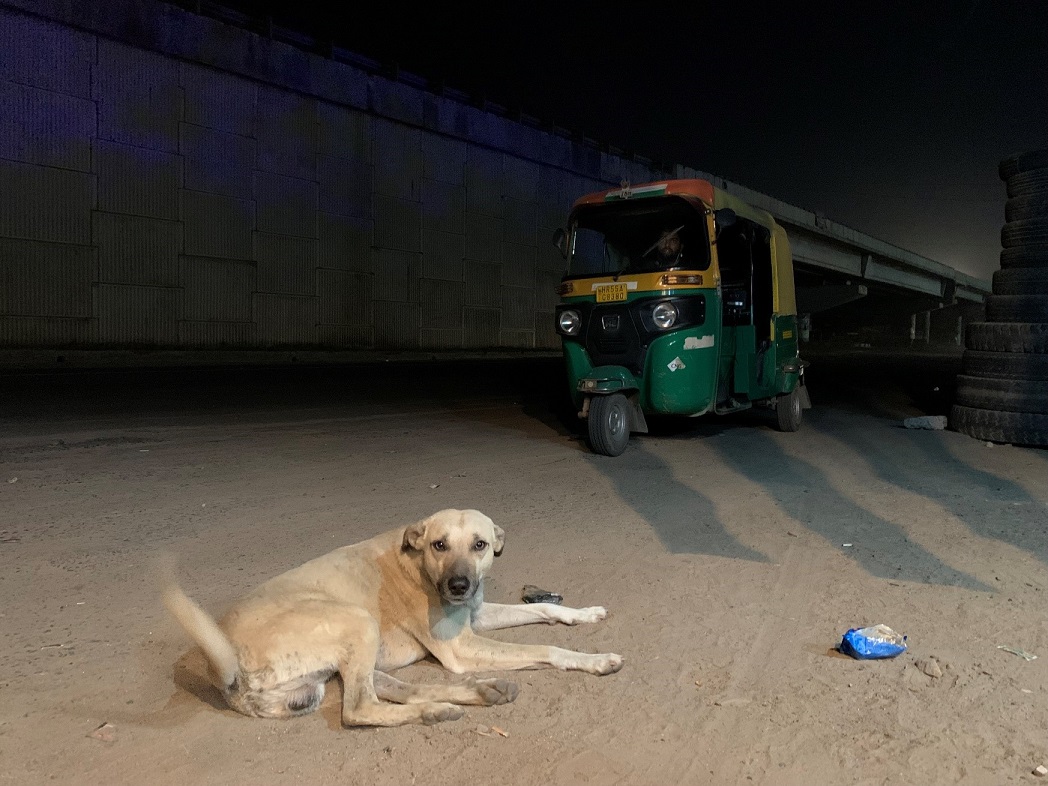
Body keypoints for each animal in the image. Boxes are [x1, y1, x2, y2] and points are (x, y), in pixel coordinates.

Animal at [163, 511, 620, 725]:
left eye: (480, 544)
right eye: (439, 544)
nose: (458, 586)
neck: (418, 564)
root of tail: (225, 670)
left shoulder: (476, 617)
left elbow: (543, 608)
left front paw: (583, 613)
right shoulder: (462, 648)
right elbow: (546, 646)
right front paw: (594, 660)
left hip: (344, 663)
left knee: (395, 690)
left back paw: (478, 692)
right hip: (357, 621)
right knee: (359, 709)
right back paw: (438, 711)